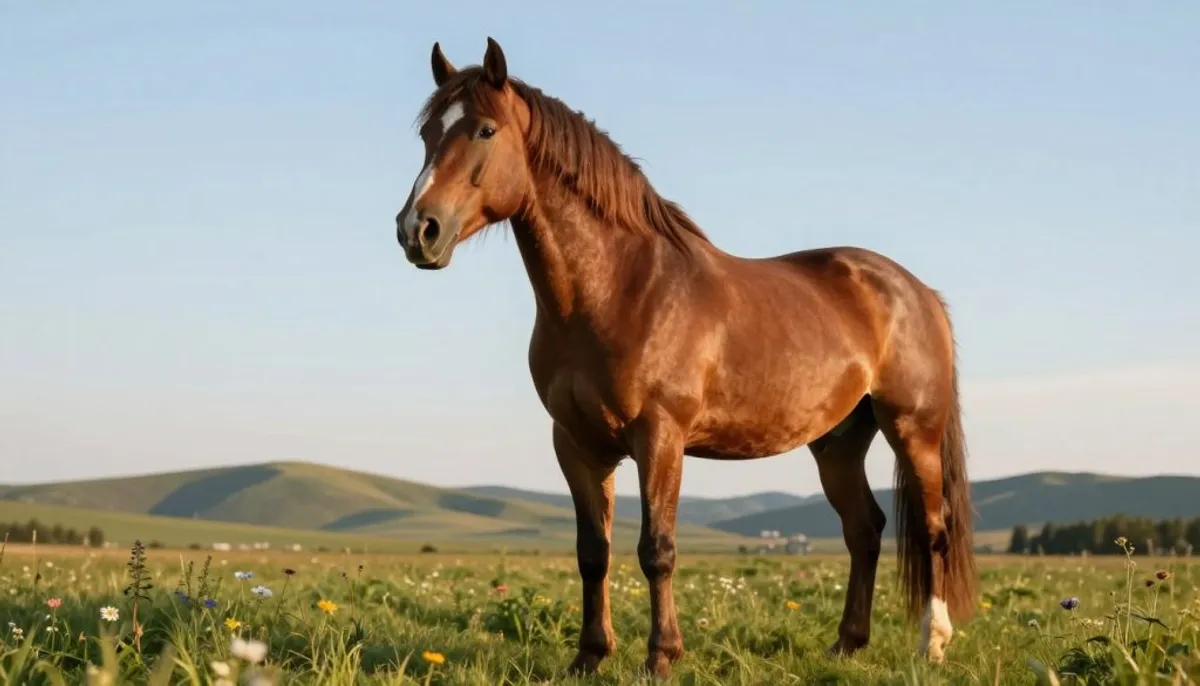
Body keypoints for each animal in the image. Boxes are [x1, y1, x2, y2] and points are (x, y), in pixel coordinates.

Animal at [394, 38, 977, 679]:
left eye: (485, 130)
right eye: (427, 132)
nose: (417, 230)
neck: (621, 289)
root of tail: (917, 291)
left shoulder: (660, 437)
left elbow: (658, 549)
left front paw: (660, 658)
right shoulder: (576, 443)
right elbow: (592, 553)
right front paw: (588, 657)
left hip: (912, 429)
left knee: (932, 528)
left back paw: (932, 645)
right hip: (838, 442)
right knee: (864, 529)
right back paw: (846, 644)